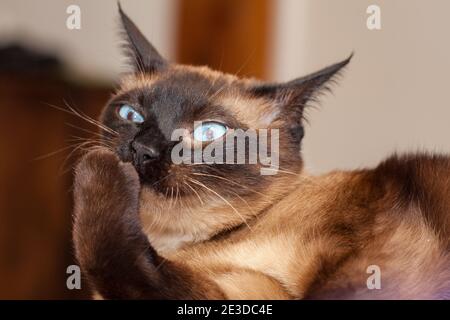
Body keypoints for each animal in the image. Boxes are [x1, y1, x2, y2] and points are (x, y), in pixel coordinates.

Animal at [72, 6, 448, 298]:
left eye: (209, 132)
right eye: (131, 115)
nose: (142, 150)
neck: (183, 246)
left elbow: (119, 262)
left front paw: (98, 166)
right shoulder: (239, 290)